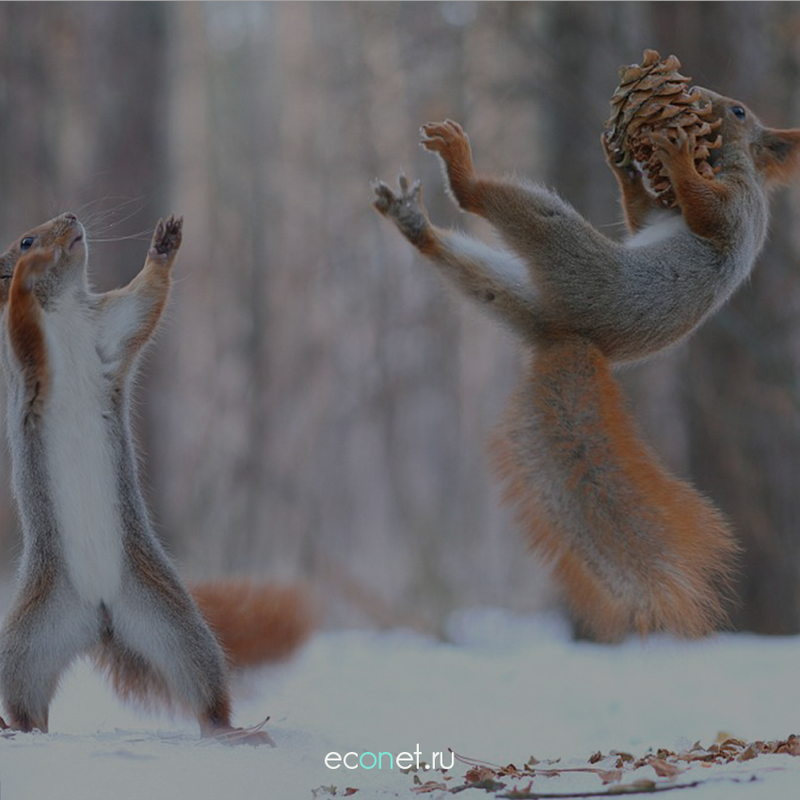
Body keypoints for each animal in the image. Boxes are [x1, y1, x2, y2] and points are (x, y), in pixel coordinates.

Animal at [0, 214, 314, 744]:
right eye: (24, 240)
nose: (71, 220)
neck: (63, 309)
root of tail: (100, 614)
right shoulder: (27, 361)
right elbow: (20, 321)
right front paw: (25, 274)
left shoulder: (110, 328)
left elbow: (144, 302)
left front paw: (164, 247)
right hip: (27, 637)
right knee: (26, 701)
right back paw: (16, 729)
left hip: (173, 623)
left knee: (202, 689)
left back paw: (232, 731)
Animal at [374, 87, 800, 640]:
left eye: (740, 112)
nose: (700, 97)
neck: (732, 162)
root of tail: (571, 338)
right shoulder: (660, 217)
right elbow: (642, 216)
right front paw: (625, 167)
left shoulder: (737, 207)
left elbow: (707, 213)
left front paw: (678, 156)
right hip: (511, 292)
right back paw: (414, 223)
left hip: (569, 253)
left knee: (491, 203)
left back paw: (460, 168)